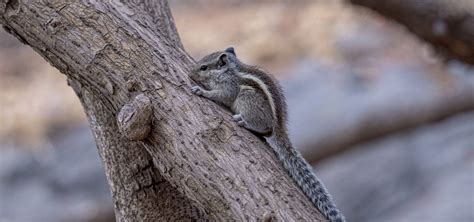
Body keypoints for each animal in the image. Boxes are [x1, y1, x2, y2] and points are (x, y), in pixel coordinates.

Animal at [189, 46, 344, 222]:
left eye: (204, 67)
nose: (191, 72)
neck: (229, 70)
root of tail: (279, 127)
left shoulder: (230, 87)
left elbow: (221, 95)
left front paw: (202, 91)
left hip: (247, 98)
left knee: (265, 128)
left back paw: (245, 122)